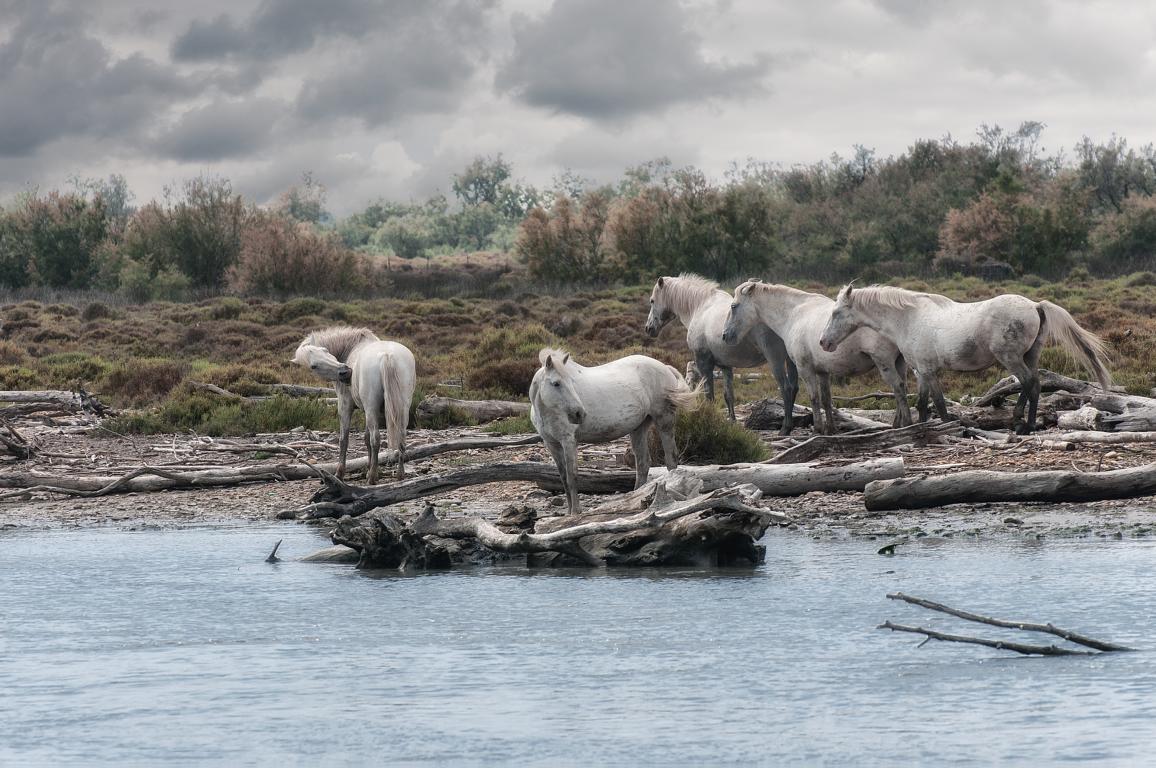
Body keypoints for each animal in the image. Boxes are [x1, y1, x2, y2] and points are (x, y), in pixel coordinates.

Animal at [291, 326, 418, 483]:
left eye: (325, 350)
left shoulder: (345, 406)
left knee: (376, 439)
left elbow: (344, 440)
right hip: (402, 408)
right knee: (401, 438)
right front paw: (368, 468)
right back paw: (399, 474)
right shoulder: (367, 411)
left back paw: (372, 478)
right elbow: (365, 439)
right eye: (313, 366)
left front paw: (340, 473)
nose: (345, 372)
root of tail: (387, 355)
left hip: (372, 409)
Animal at [529, 349, 693, 515]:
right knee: (643, 463)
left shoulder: (568, 442)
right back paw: (636, 496)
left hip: (664, 422)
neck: (546, 410)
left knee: (671, 459)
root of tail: (665, 367)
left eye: (571, 382)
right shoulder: (552, 444)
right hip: (639, 428)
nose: (579, 414)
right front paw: (568, 512)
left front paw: (575, 511)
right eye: (556, 383)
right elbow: (562, 478)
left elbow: (571, 476)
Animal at [647, 274, 799, 432]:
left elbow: (709, 395)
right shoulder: (726, 366)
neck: (700, 307)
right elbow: (728, 395)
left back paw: (785, 428)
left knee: (786, 388)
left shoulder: (704, 363)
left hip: (775, 360)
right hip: (791, 361)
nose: (648, 328)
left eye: (652, 300)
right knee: (794, 387)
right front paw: (732, 421)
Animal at [721, 281, 910, 437]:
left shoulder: (805, 369)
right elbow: (826, 400)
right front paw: (830, 430)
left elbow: (814, 398)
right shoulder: (822, 372)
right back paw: (897, 424)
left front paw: (817, 429)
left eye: (734, 306)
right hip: (899, 363)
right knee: (901, 389)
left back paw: (905, 424)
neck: (794, 314)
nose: (725, 335)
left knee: (898, 388)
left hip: (885, 363)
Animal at [818, 284, 1114, 434]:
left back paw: (1020, 424)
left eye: (836, 312)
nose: (824, 343)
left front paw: (948, 426)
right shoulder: (920, 371)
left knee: (1029, 383)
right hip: (1030, 355)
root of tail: (1034, 305)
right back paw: (1029, 424)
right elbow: (923, 404)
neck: (908, 318)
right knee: (1036, 385)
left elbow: (938, 403)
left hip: (1011, 358)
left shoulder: (928, 371)